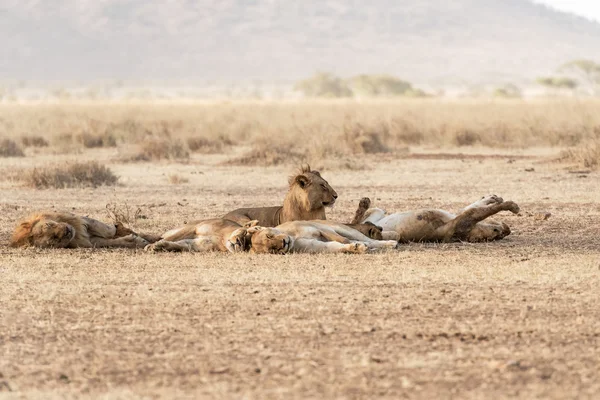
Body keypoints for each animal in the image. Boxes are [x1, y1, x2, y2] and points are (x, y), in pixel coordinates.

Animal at [9, 211, 155, 248]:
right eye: (54, 239)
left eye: (48, 226)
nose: (67, 231)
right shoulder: (91, 242)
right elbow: (113, 241)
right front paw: (137, 241)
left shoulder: (83, 221)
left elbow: (107, 230)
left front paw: (121, 229)